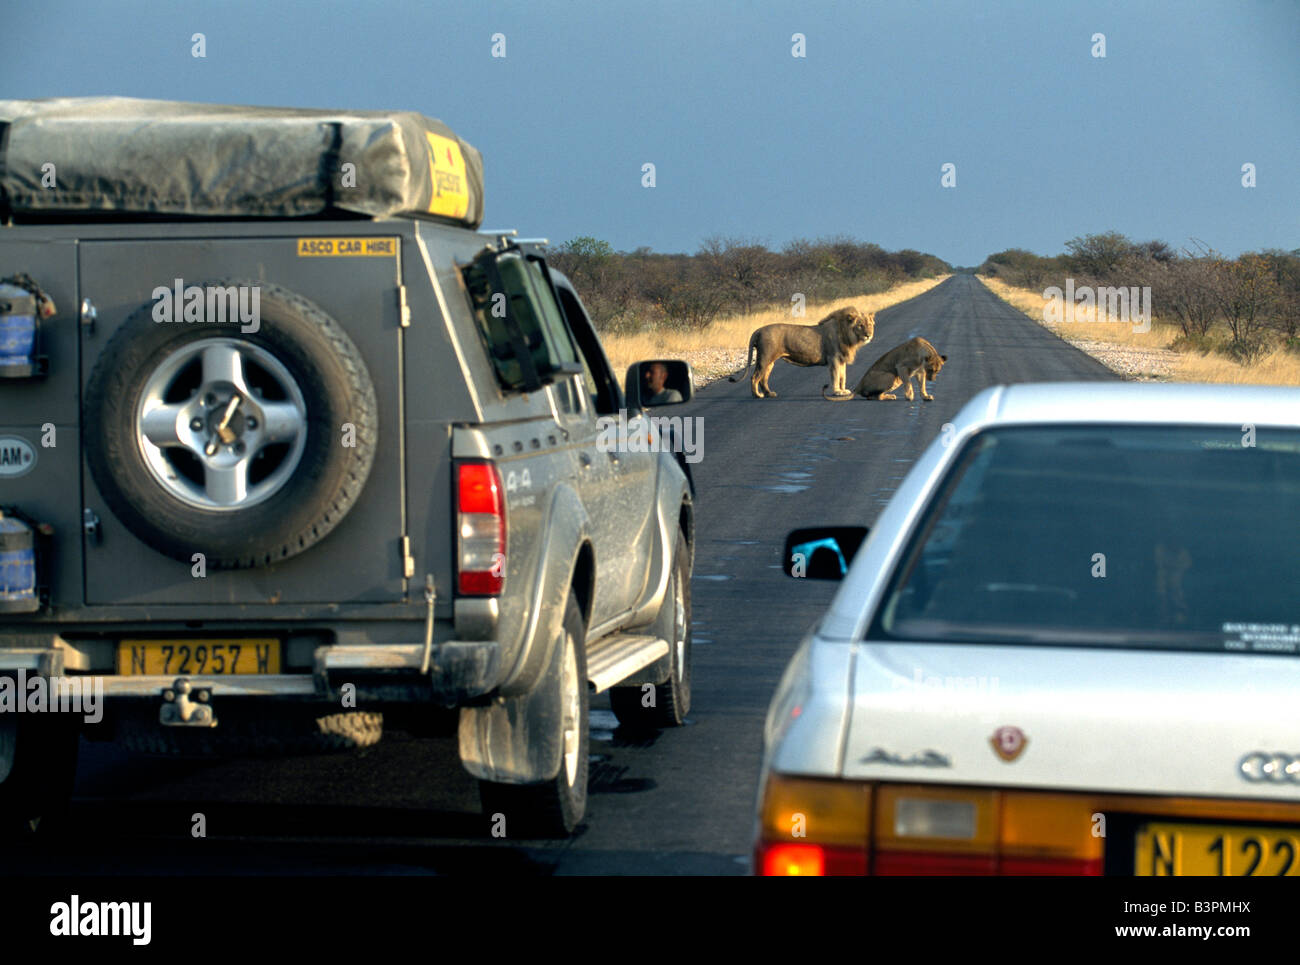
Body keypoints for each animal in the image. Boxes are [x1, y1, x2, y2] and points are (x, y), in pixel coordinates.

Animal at [733, 309, 873, 400]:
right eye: (860, 325)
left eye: (870, 325)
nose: (868, 335)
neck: (848, 335)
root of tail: (758, 330)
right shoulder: (833, 358)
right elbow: (835, 376)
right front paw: (837, 392)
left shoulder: (841, 359)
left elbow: (843, 376)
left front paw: (843, 390)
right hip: (764, 358)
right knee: (755, 377)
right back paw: (757, 395)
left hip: (770, 361)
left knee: (763, 379)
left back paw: (769, 394)